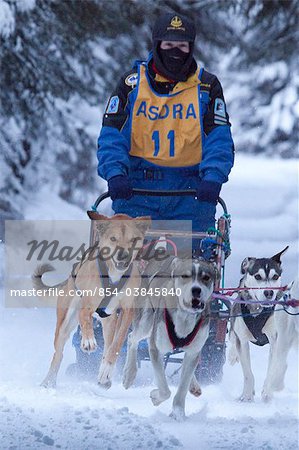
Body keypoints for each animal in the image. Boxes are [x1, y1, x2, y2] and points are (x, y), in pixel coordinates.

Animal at [33, 214, 151, 386]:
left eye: (133, 239)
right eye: (113, 238)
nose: (123, 255)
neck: (113, 275)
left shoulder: (127, 311)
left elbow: (117, 343)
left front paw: (107, 369)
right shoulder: (87, 303)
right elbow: (85, 317)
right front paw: (88, 341)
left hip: (109, 322)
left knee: (108, 345)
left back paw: (104, 374)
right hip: (65, 323)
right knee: (58, 354)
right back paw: (48, 382)